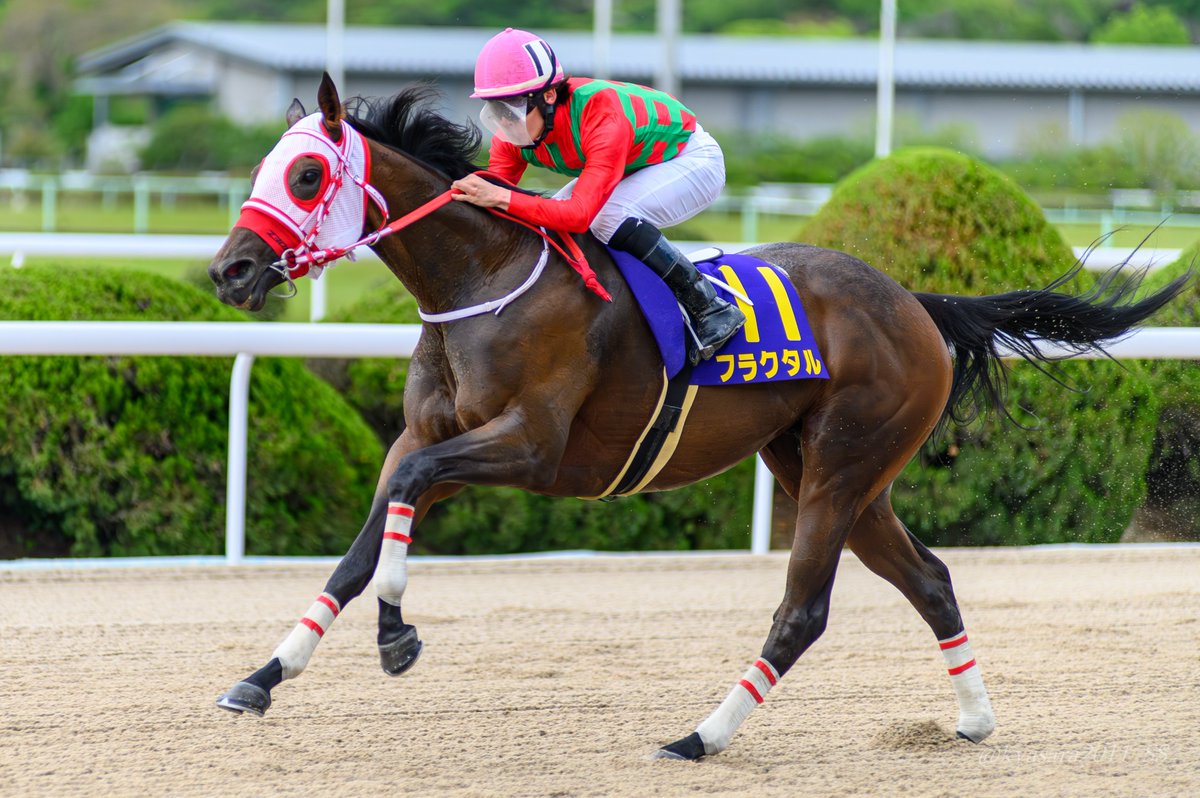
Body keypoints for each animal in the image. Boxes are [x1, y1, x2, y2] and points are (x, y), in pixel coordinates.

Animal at [207, 74, 1188, 760]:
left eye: (306, 174)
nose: (229, 271)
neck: (484, 281)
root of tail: (915, 301)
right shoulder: (432, 436)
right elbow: (363, 543)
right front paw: (262, 676)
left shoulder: (530, 448)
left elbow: (404, 500)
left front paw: (397, 637)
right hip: (833, 470)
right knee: (932, 578)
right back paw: (974, 720)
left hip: (840, 468)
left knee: (803, 612)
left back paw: (701, 737)